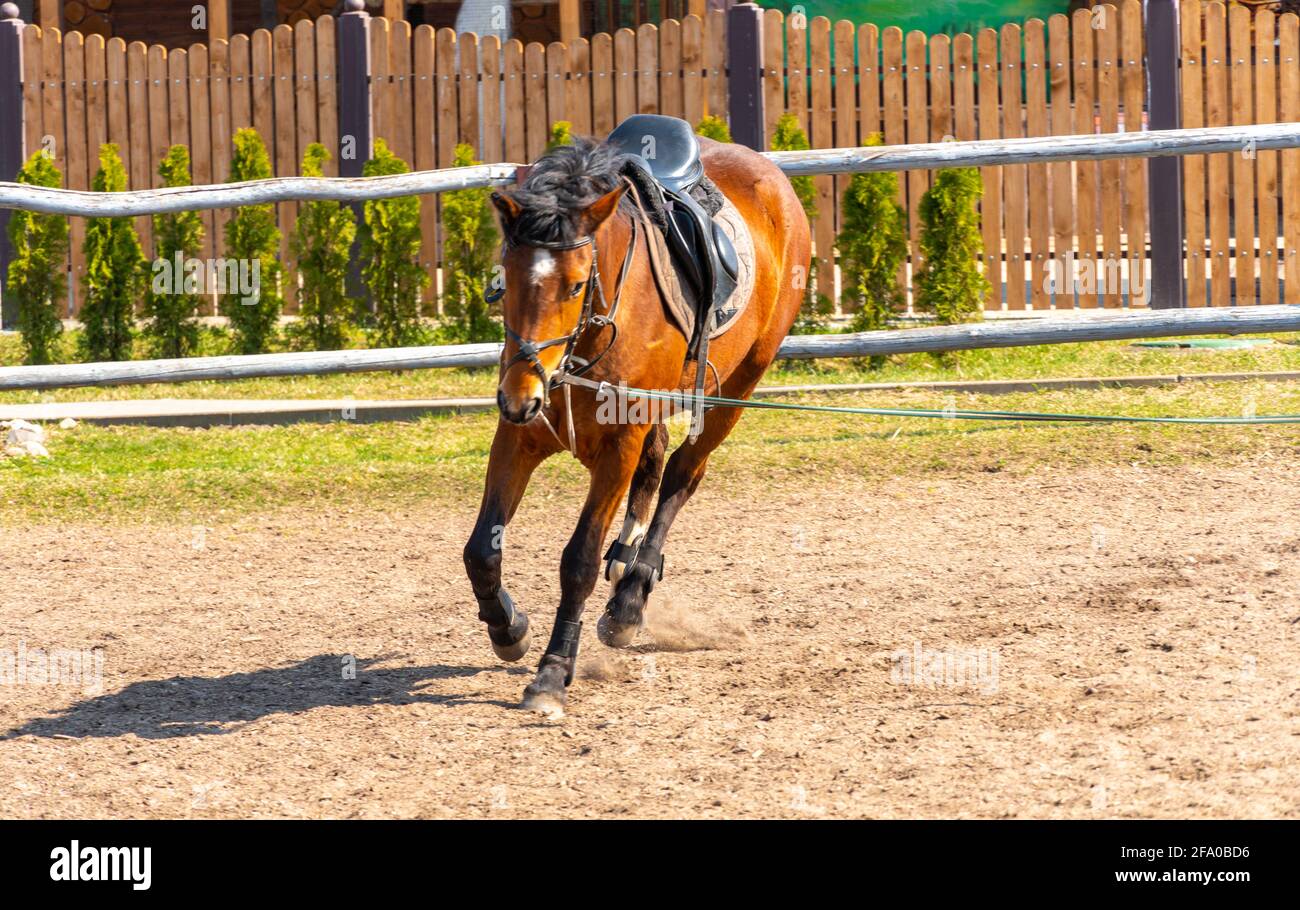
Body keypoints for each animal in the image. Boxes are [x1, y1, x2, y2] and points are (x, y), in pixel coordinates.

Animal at [463, 130, 811, 717]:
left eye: (575, 285)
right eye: (504, 278)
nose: (520, 395)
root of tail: (768, 173)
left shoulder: (618, 447)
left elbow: (578, 560)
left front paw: (553, 672)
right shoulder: (518, 437)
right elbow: (481, 550)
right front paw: (508, 628)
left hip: (738, 388)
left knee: (680, 477)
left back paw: (630, 599)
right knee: (652, 478)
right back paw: (623, 568)